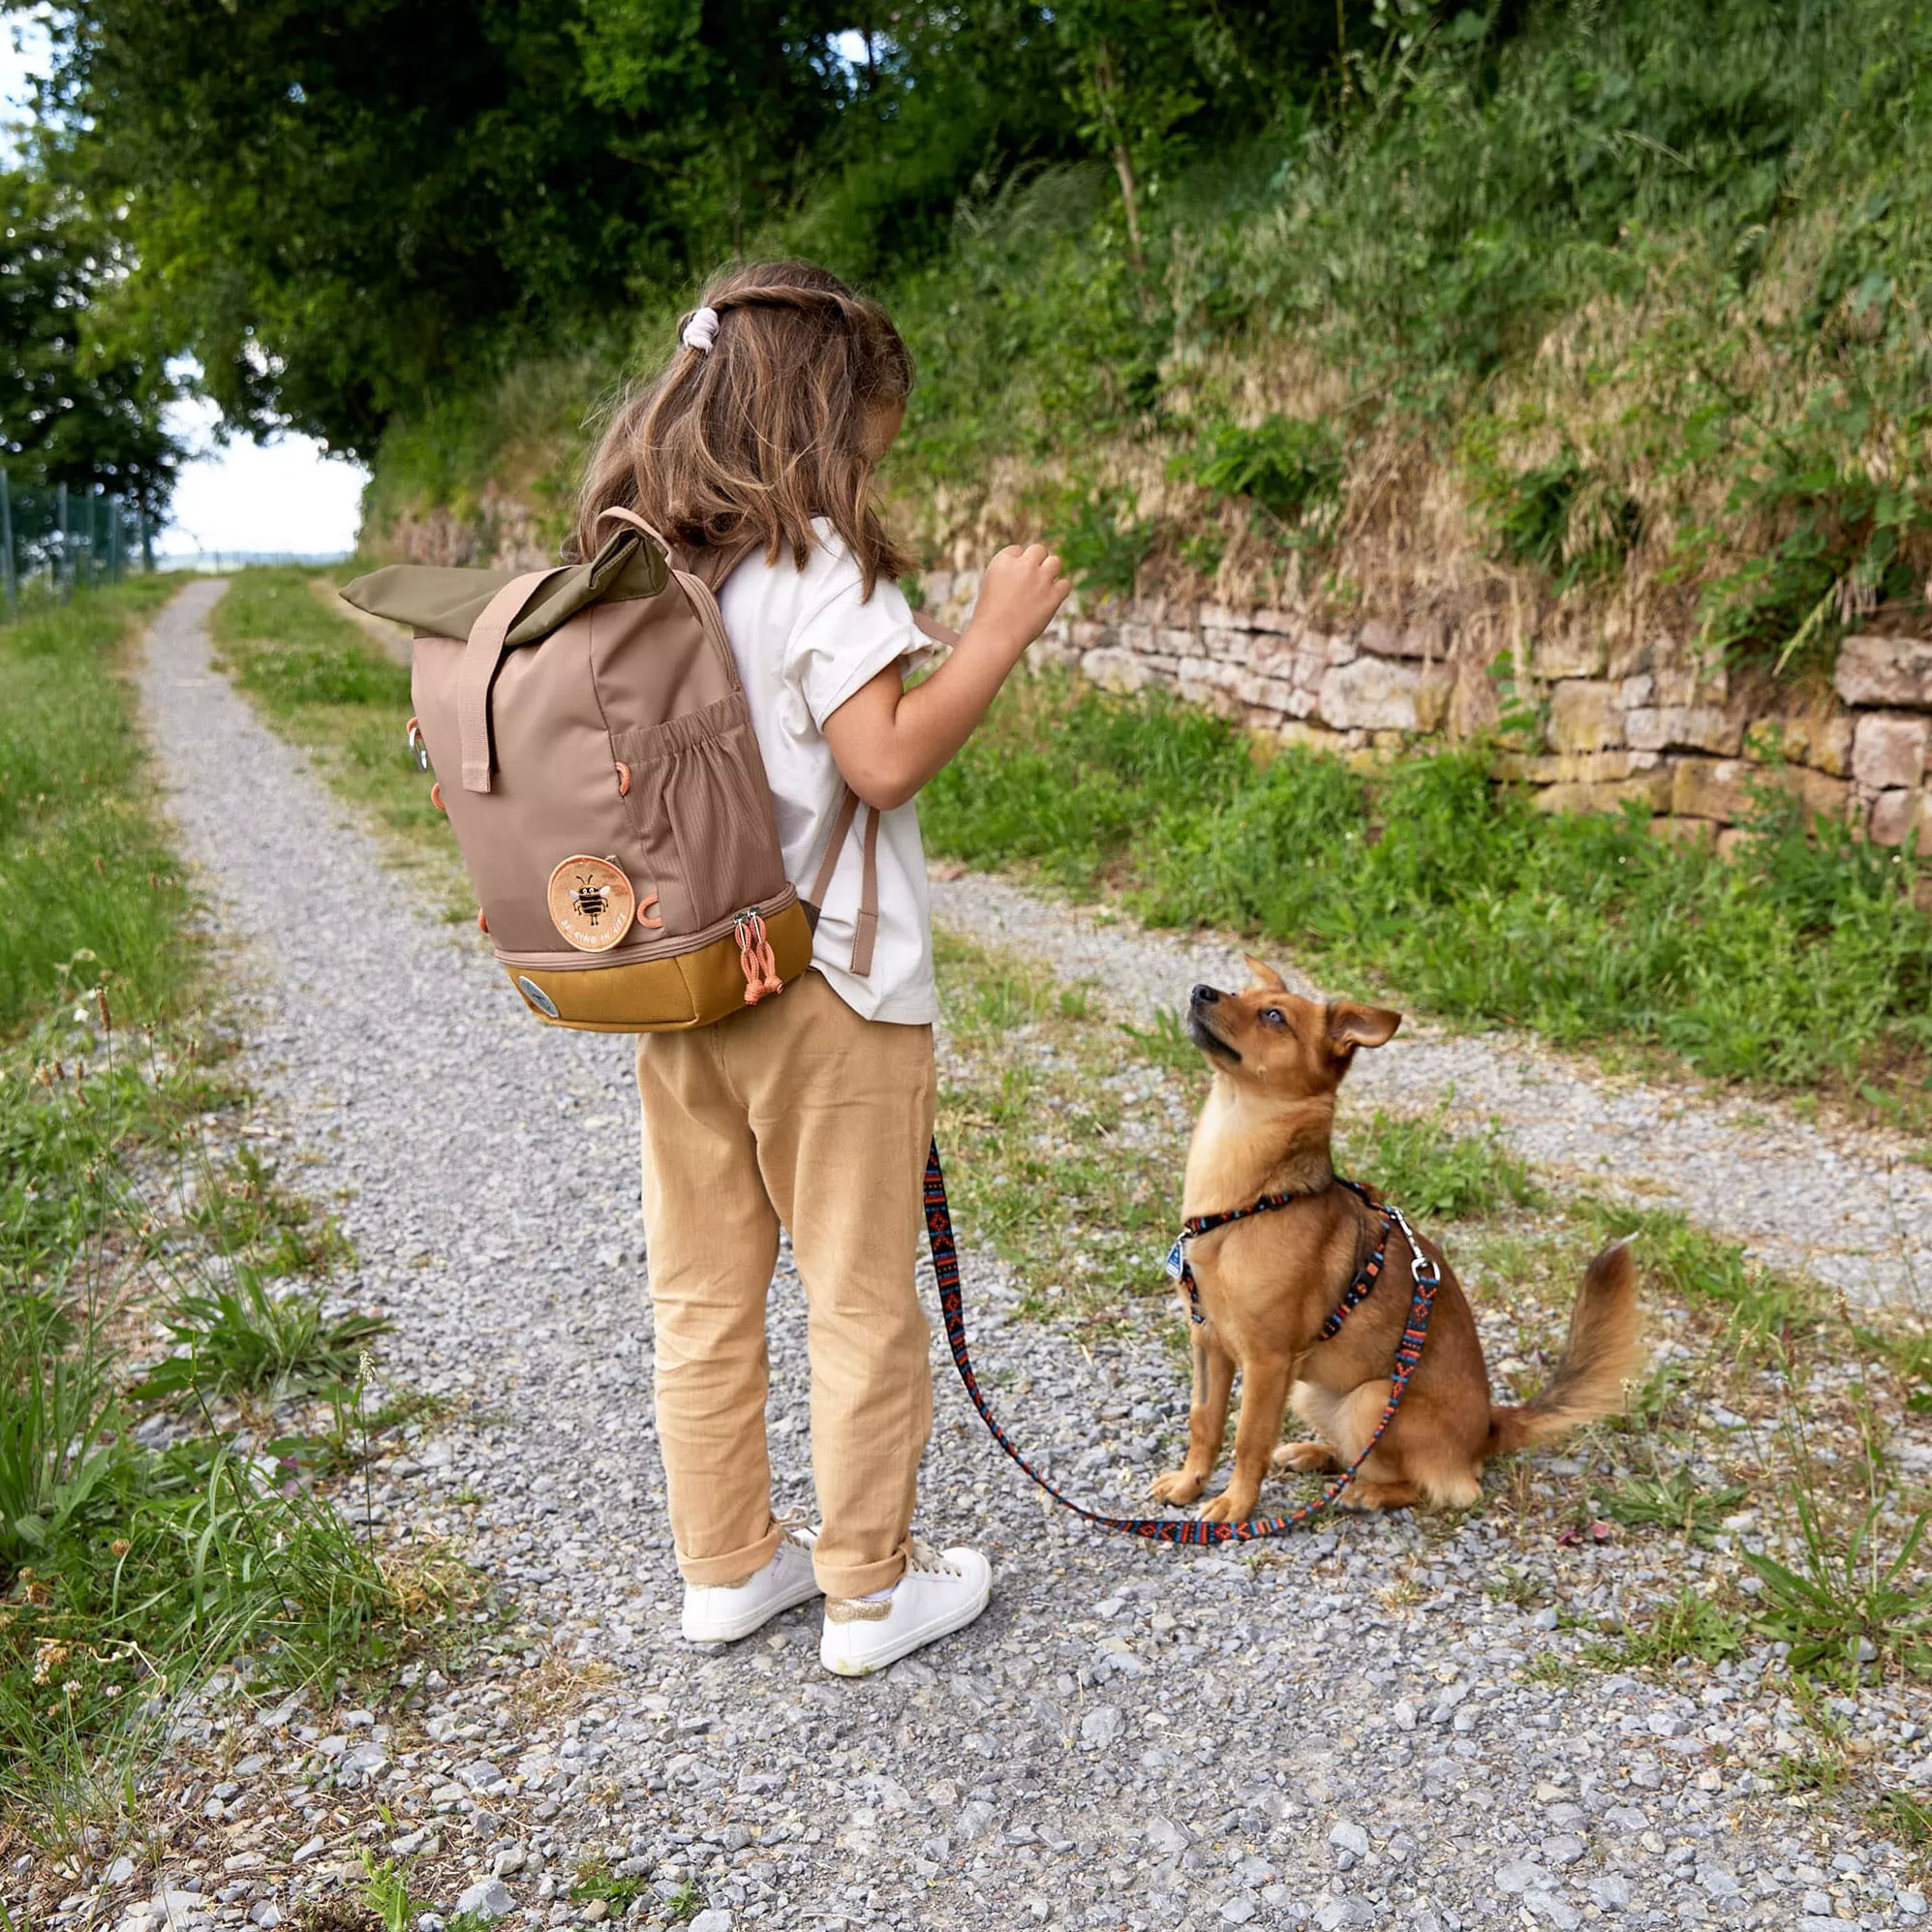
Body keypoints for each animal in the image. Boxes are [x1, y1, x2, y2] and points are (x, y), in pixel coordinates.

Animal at [1151, 958, 1638, 1515]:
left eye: (1273, 1016)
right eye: (1237, 991)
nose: (1200, 991)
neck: (1251, 1200)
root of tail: (1488, 1428)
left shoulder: (1268, 1364)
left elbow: (1248, 1439)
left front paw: (1236, 1506)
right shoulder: (1208, 1342)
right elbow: (1204, 1424)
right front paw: (1189, 1482)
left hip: (1371, 1398)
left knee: (1434, 1486)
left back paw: (1364, 1492)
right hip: (1312, 1392)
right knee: (1357, 1455)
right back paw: (1316, 1455)